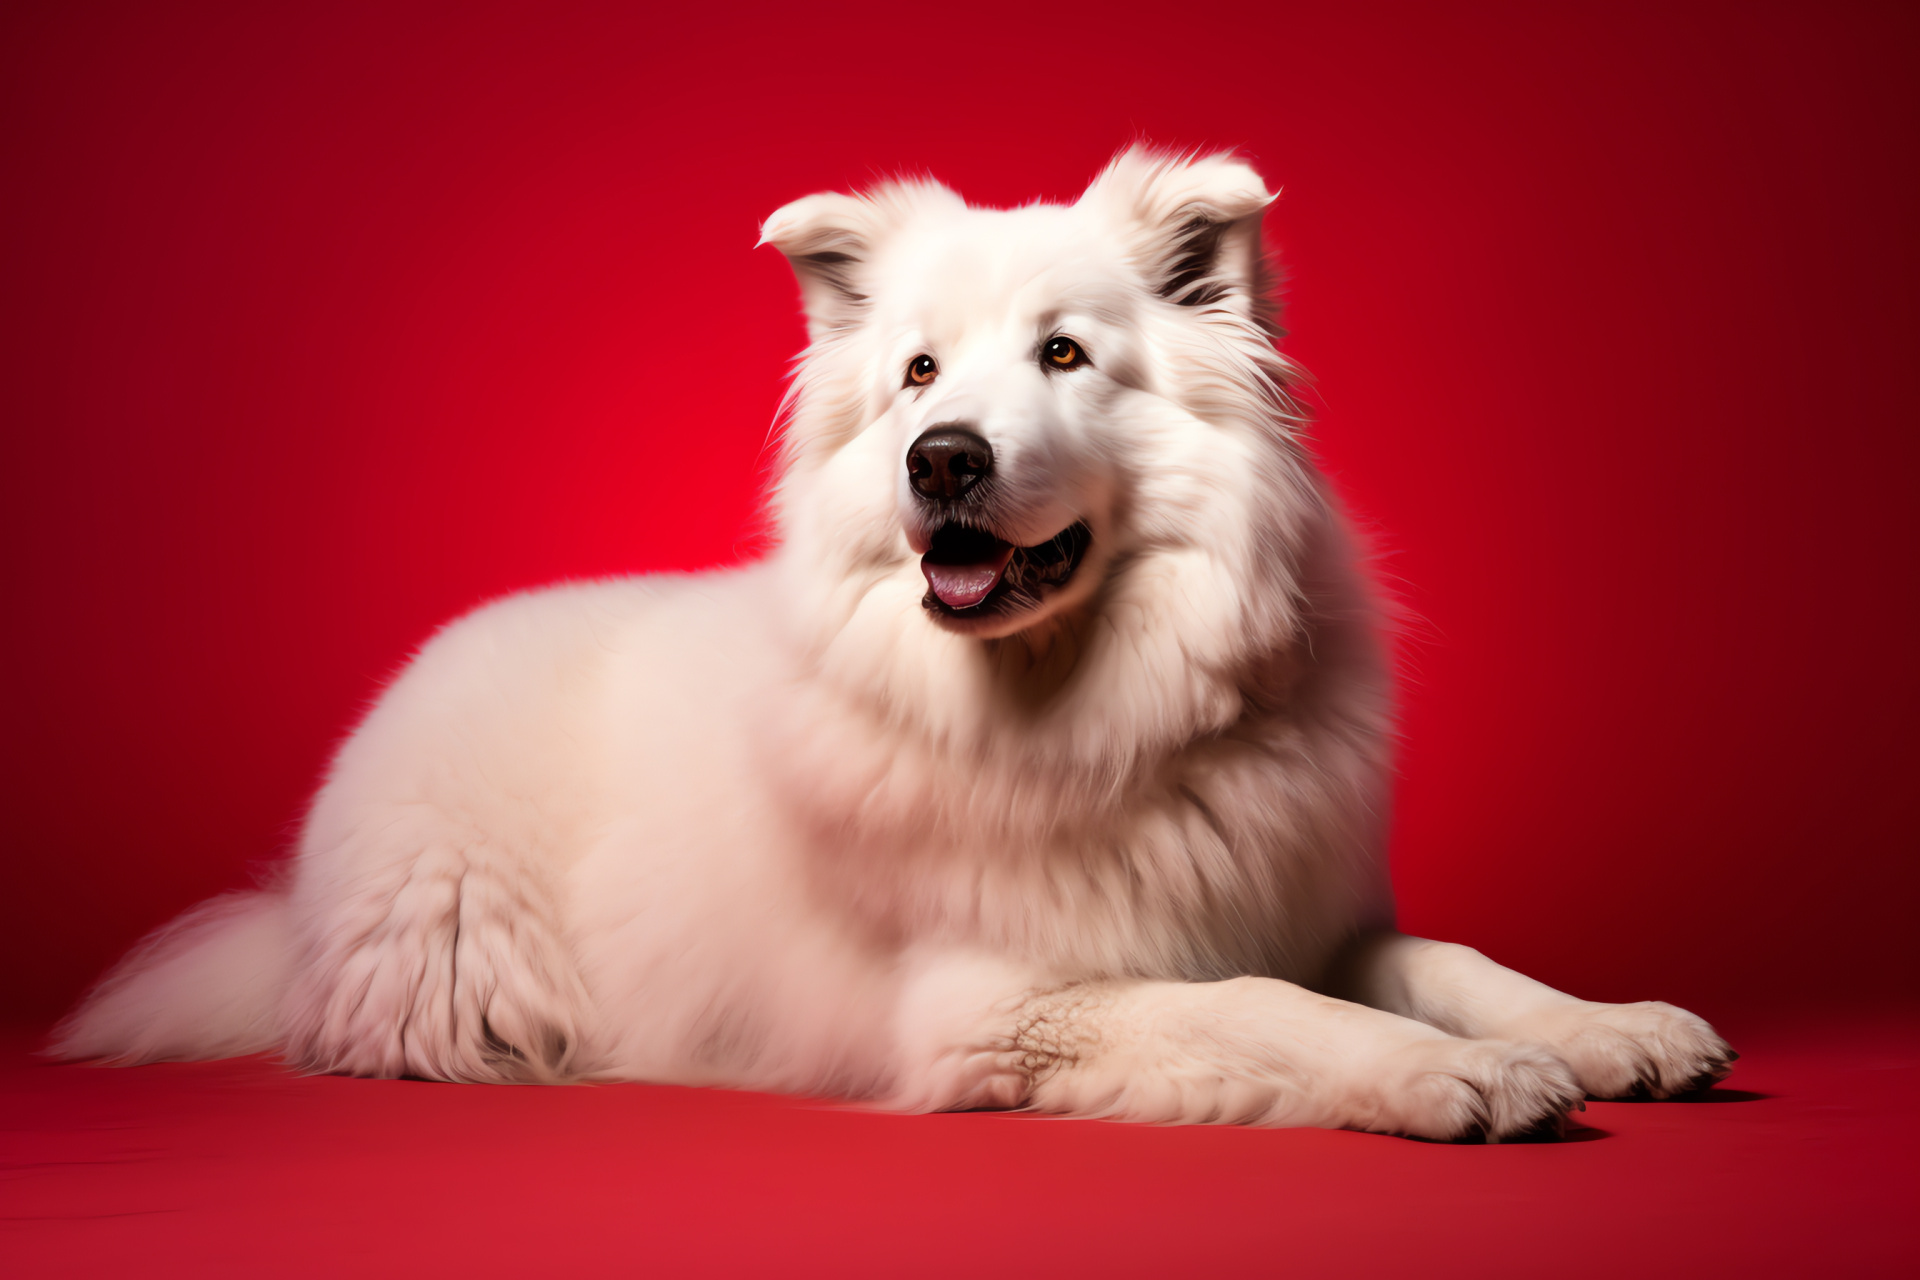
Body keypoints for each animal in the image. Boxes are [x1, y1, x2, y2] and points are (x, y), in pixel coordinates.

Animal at [52, 150, 1735, 1143]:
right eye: (921, 372)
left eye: (1064, 355)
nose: (942, 460)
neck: (1101, 708)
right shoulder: (1009, 1005)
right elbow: (1271, 1009)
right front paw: (1447, 1077)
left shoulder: (1301, 903)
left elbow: (1446, 959)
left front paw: (1608, 1030)